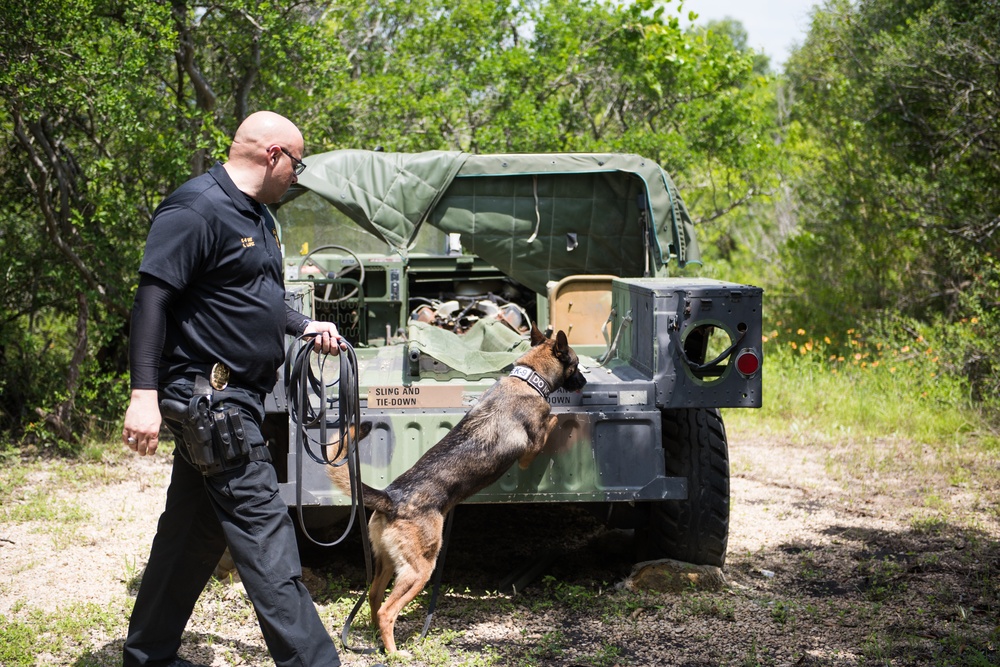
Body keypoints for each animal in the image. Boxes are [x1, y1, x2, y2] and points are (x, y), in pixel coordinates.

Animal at [324, 324, 588, 652]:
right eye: (576, 364)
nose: (585, 383)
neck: (527, 378)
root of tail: (392, 498)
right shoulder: (531, 451)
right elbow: (552, 417)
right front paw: (563, 416)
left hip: (387, 563)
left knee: (373, 596)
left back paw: (378, 640)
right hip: (421, 569)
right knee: (388, 610)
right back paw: (396, 652)